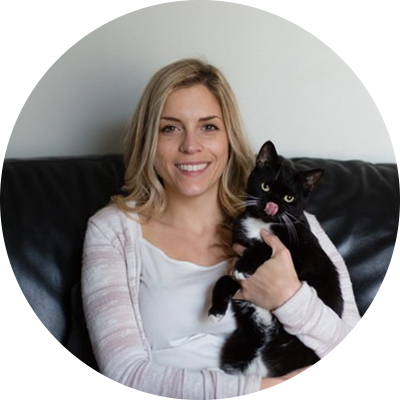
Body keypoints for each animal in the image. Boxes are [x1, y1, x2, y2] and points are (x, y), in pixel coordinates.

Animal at [208, 141, 342, 378]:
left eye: (289, 198)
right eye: (265, 187)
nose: (273, 204)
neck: (262, 223)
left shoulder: (300, 250)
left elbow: (266, 246)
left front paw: (244, 266)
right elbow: (224, 280)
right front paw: (216, 310)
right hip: (238, 348)